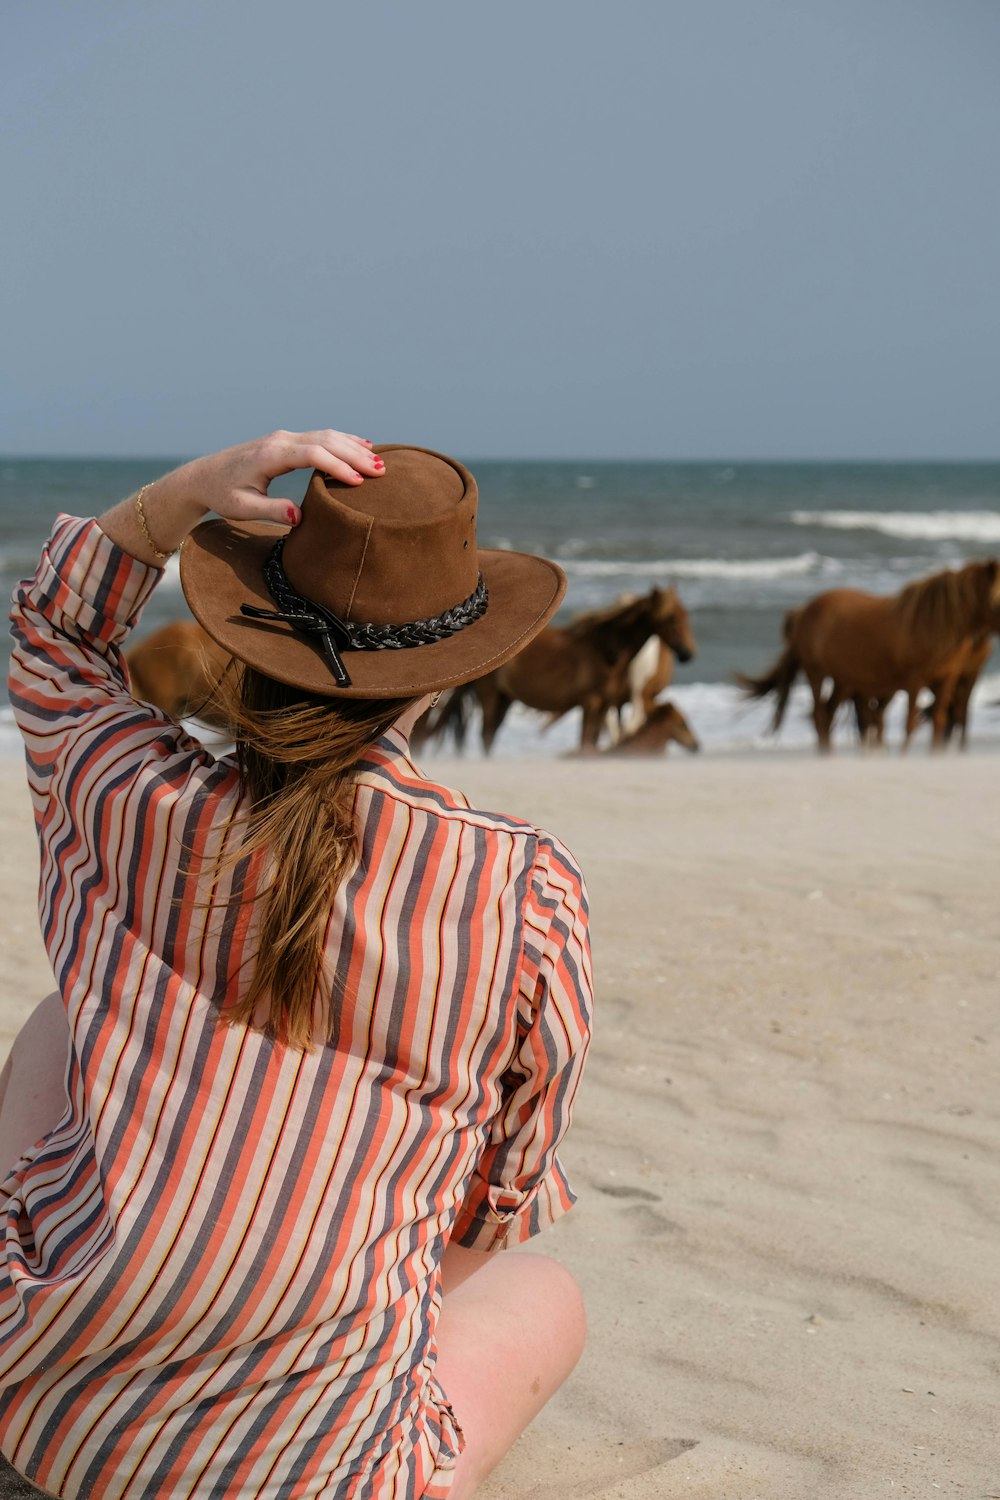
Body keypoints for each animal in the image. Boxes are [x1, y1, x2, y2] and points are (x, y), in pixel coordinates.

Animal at [734, 558, 1000, 750]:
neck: (935, 624)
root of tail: (803, 611)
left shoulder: (946, 681)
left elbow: (941, 721)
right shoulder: (914, 682)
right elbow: (909, 724)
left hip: (844, 681)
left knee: (832, 716)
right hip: (817, 673)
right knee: (822, 717)